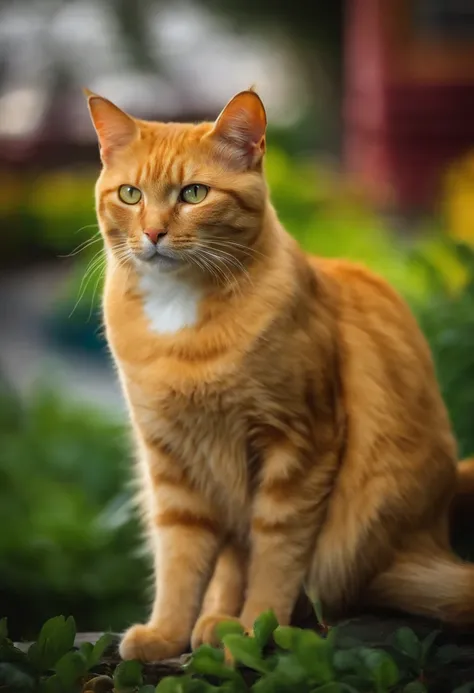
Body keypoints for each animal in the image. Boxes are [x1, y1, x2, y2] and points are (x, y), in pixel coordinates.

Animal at [86, 89, 474, 664]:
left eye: (194, 193)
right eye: (130, 195)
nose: (153, 233)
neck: (183, 321)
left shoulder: (297, 448)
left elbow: (274, 554)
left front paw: (253, 630)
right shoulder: (174, 462)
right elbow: (181, 559)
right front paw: (168, 633)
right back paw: (211, 621)